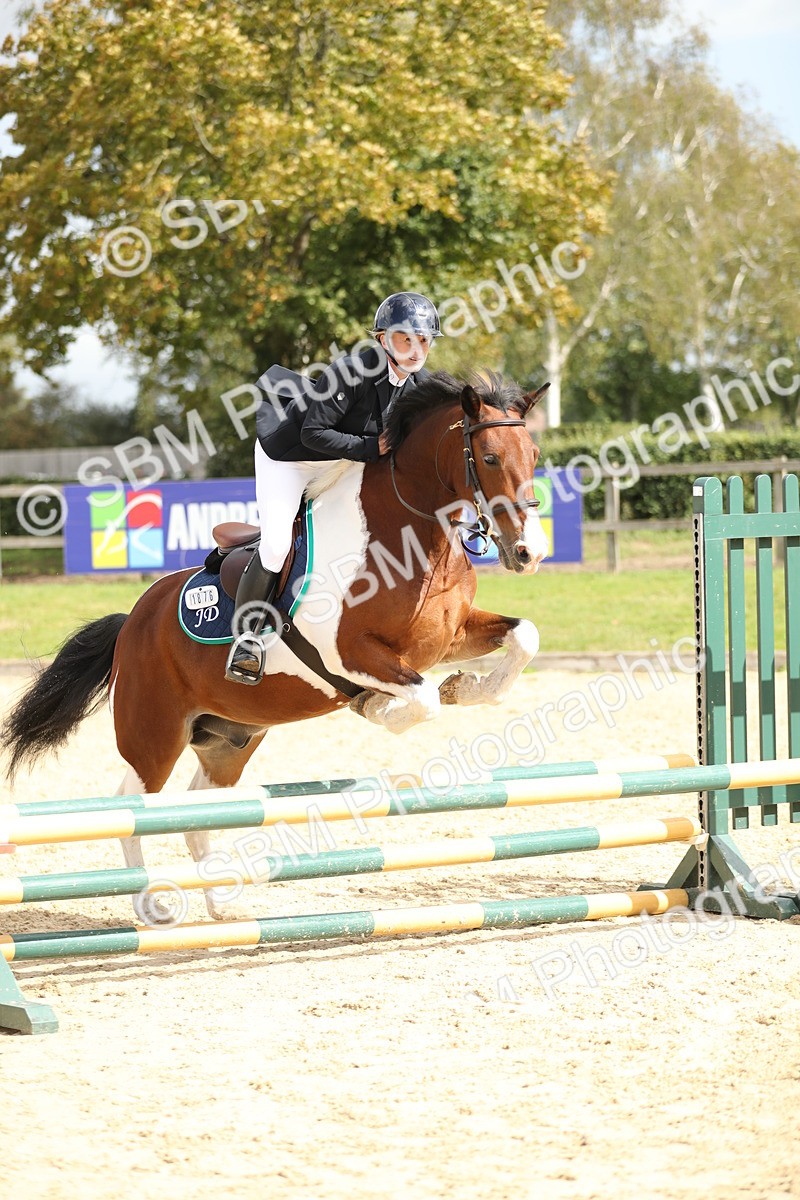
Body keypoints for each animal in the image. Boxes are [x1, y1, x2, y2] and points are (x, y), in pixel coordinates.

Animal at [2, 370, 550, 922]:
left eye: (535, 454)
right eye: (489, 458)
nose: (529, 552)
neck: (407, 534)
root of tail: (133, 621)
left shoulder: (447, 639)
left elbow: (522, 638)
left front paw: (467, 687)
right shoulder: (346, 653)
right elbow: (422, 698)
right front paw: (377, 706)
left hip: (228, 738)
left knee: (199, 808)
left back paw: (222, 907)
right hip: (152, 737)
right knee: (132, 807)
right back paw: (151, 907)